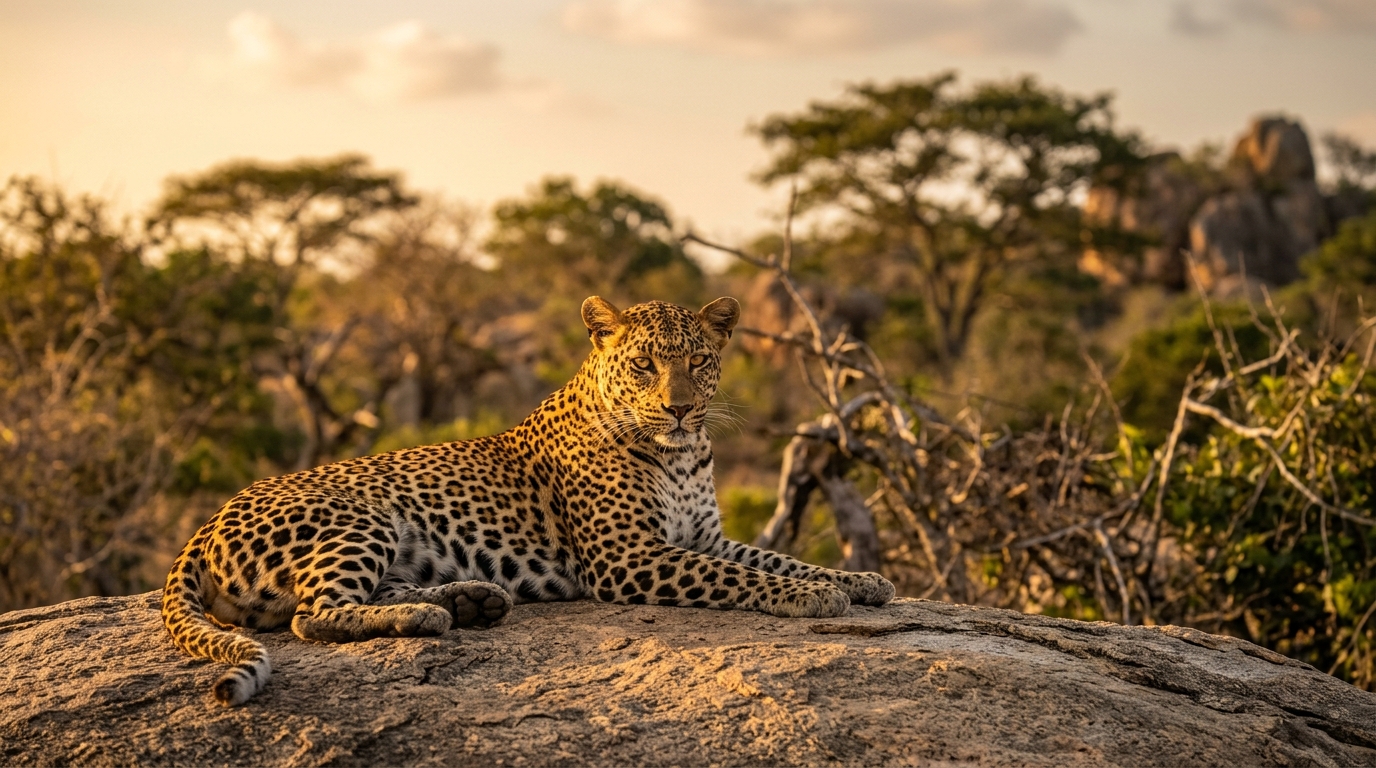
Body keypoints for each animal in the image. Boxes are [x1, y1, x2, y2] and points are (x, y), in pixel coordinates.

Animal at [162, 296, 895, 706]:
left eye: (699, 363)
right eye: (644, 366)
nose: (681, 409)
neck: (684, 453)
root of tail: (202, 526)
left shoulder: (703, 537)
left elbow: (776, 559)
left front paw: (859, 579)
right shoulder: (629, 556)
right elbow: (740, 576)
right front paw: (812, 598)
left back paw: (472, 600)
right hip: (359, 518)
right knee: (310, 616)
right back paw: (429, 618)